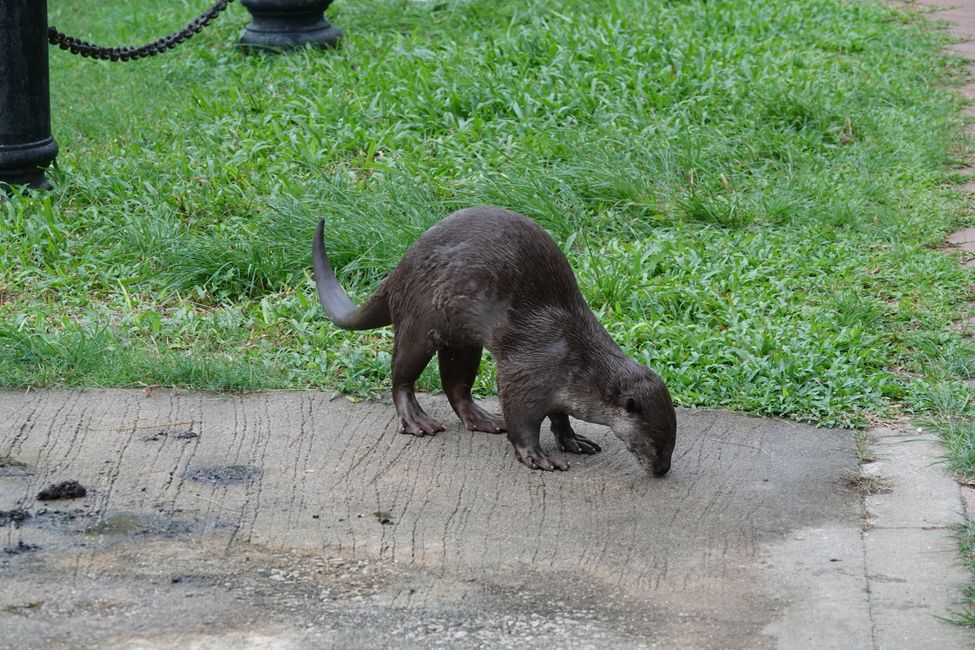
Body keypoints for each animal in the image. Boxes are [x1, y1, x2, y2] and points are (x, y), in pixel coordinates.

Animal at [312, 206, 676, 476]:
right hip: (419, 320)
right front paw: (537, 457)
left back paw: (483, 419)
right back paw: (417, 421)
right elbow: (521, 420)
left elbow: (559, 416)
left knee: (456, 385)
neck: (577, 360)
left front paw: (573, 440)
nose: (661, 470)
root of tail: (401, 266)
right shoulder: (527, 372)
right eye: (656, 444)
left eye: (671, 442)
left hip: (462, 342)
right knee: (401, 375)